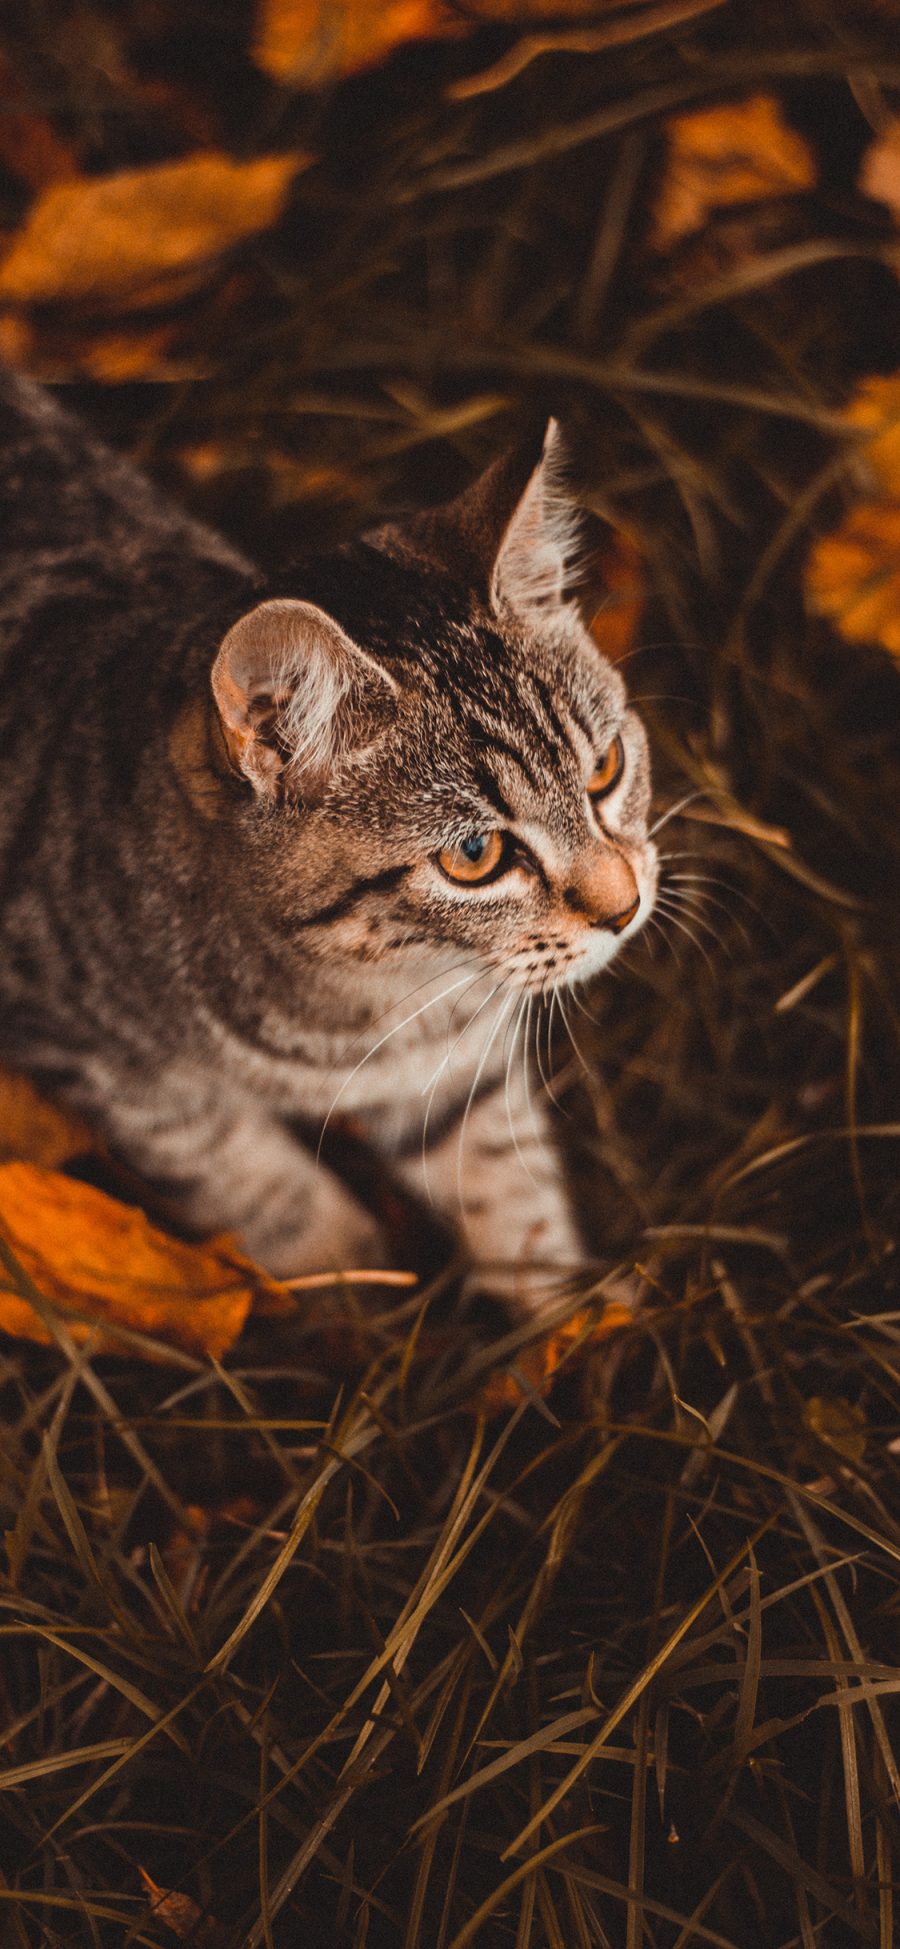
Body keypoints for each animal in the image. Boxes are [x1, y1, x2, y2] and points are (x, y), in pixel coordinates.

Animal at [0, 358, 658, 1317]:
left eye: (605, 767)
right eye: (475, 856)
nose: (625, 906)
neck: (369, 997)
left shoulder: (451, 1065)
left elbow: (505, 1175)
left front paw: (567, 1322)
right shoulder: (92, 1051)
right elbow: (236, 1168)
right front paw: (345, 1278)